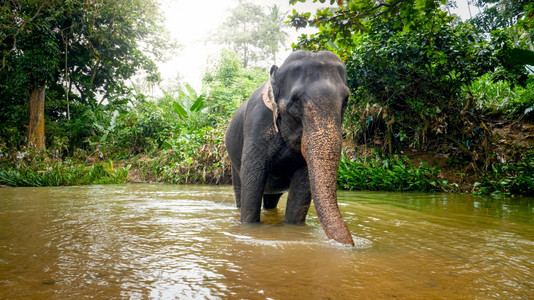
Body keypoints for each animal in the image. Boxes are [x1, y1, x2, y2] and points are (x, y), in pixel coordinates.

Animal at [226, 49, 356, 246]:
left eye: (346, 100)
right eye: (295, 101)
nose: (351, 246)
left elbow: (303, 182)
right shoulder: (256, 123)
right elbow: (253, 176)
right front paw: (249, 228)